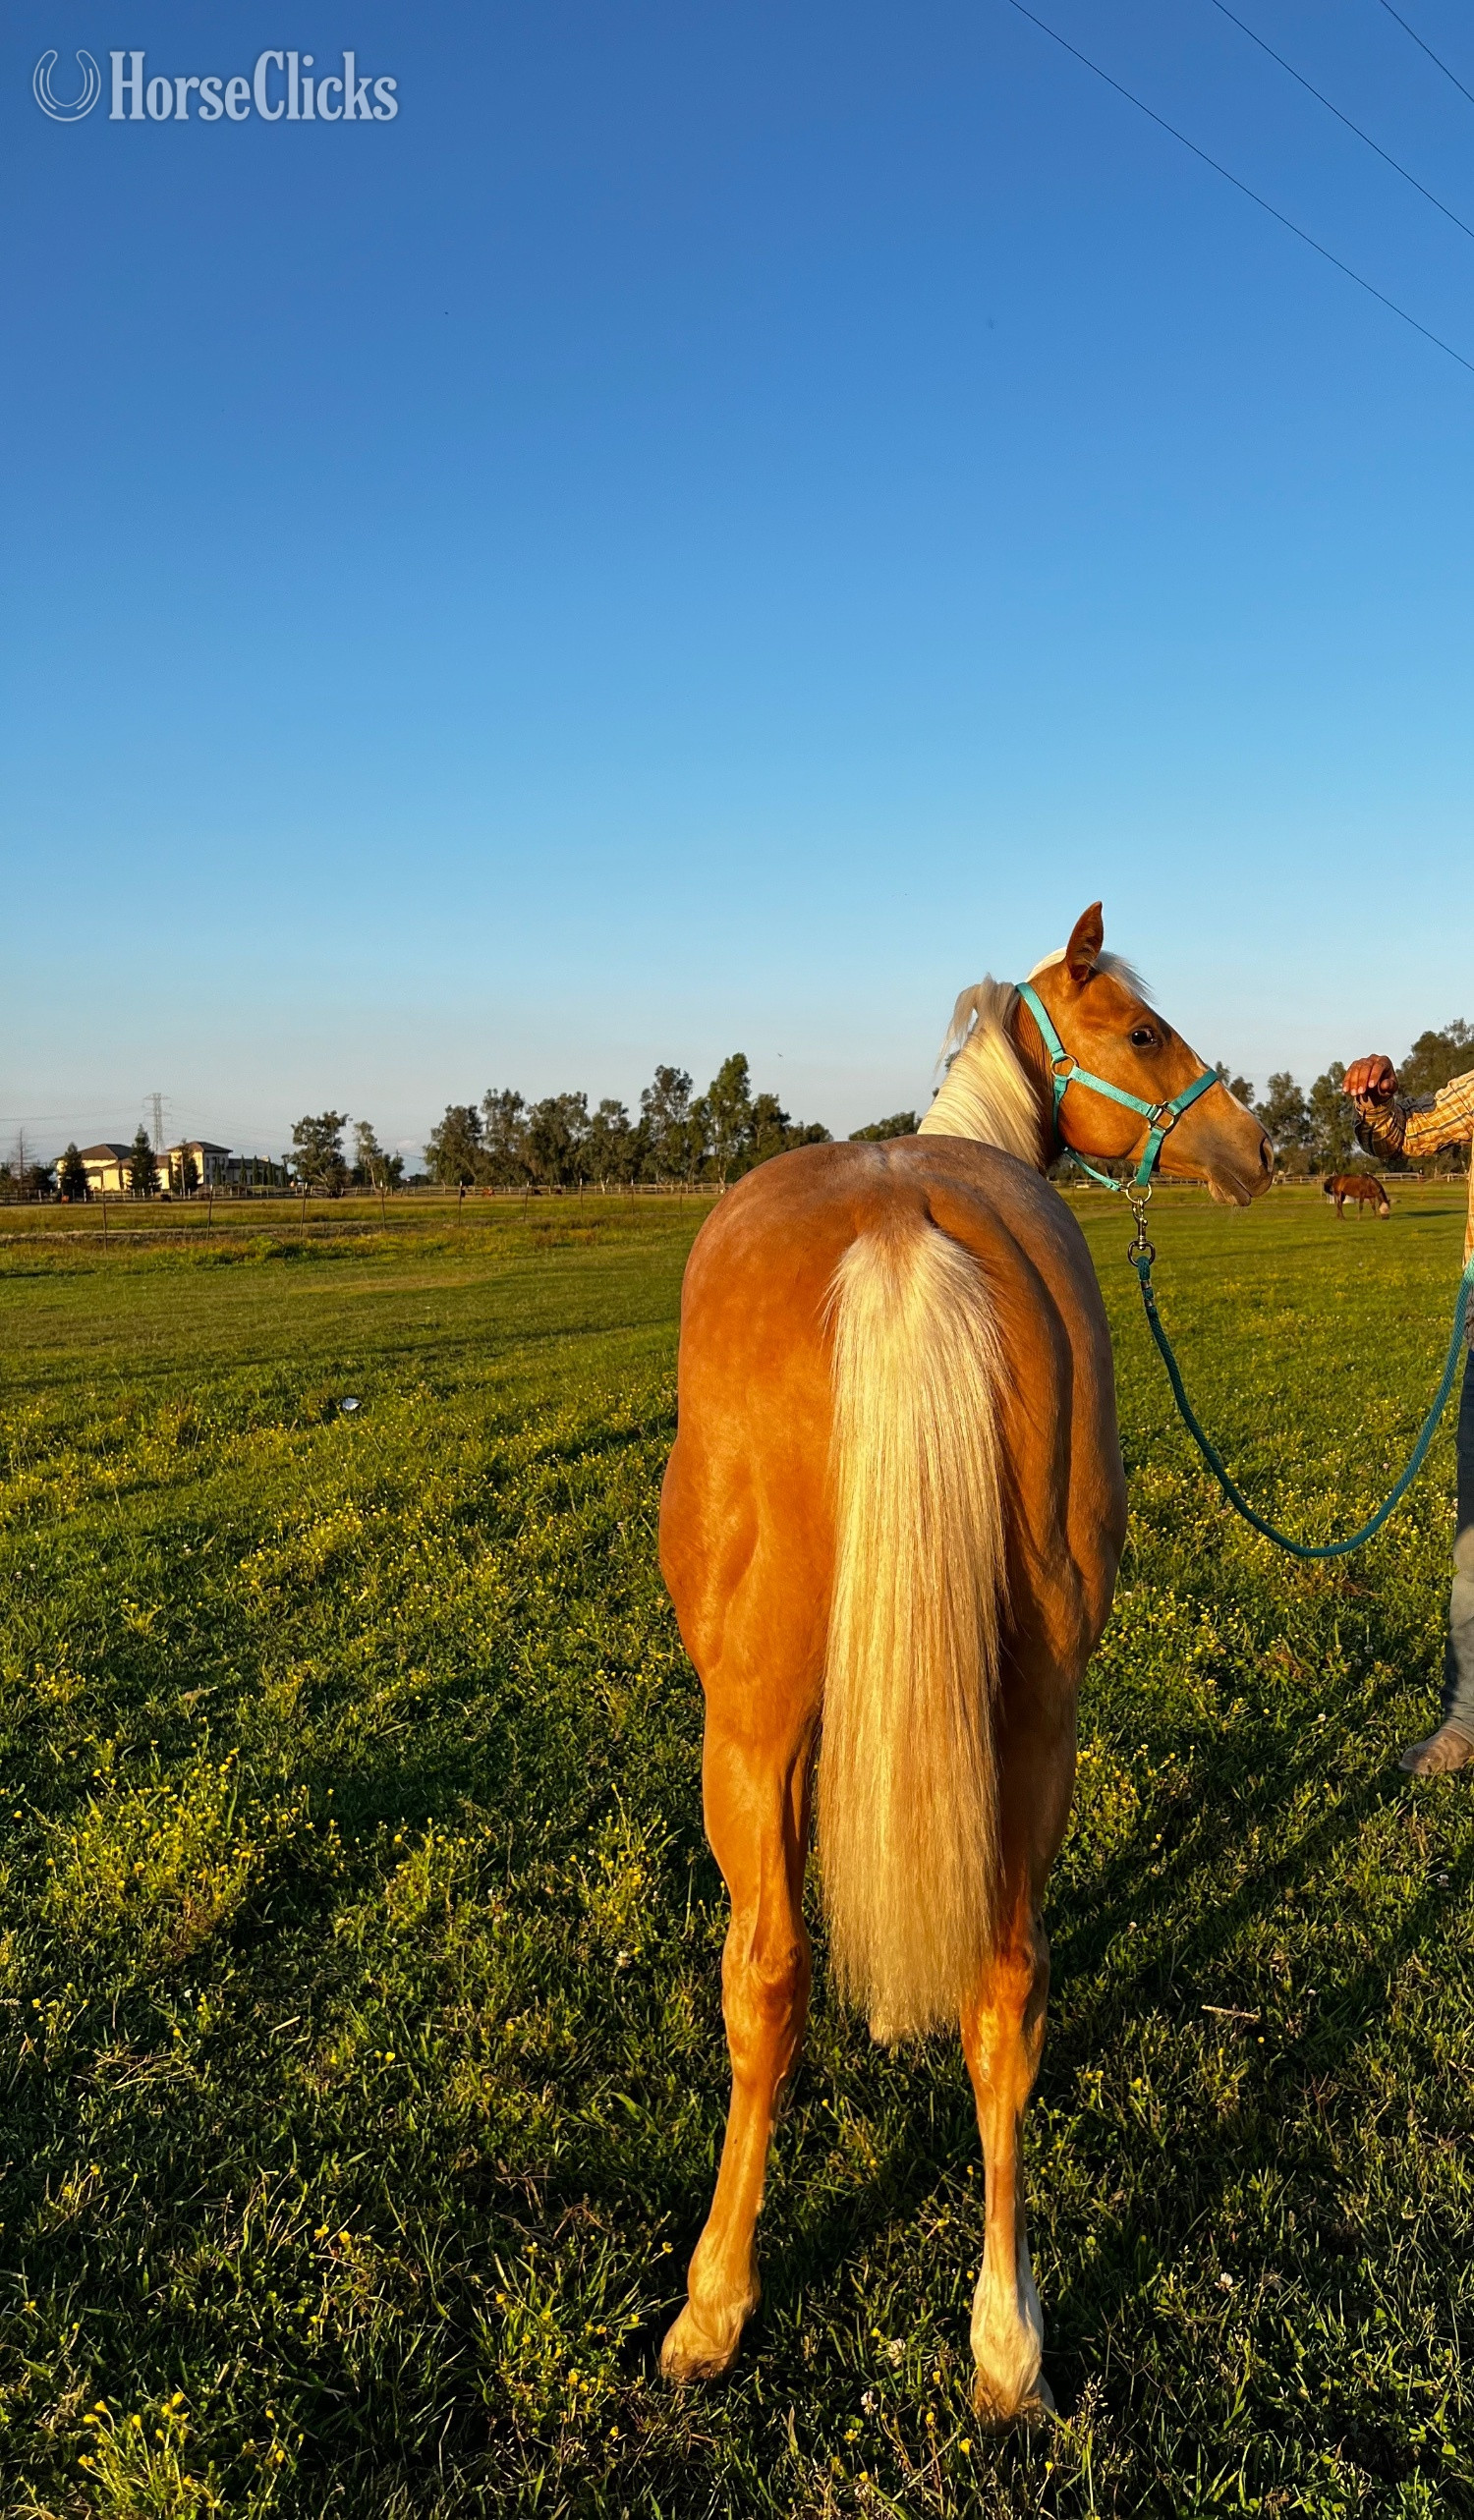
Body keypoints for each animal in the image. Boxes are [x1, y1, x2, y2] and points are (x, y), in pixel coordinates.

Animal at [656, 903, 1273, 2419]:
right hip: (1034, 1713)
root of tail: (895, 1229)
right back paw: (1006, 2337)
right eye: (1141, 1032)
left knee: (763, 1974)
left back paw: (718, 2302)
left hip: (746, 1728)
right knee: (1004, 1984)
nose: (1255, 1149)